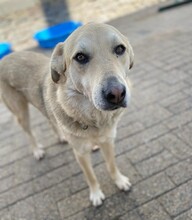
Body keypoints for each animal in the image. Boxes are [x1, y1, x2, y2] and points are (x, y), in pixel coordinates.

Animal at [0, 22, 134, 206]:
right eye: (80, 57)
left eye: (120, 49)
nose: (116, 94)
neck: (93, 117)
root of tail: (6, 57)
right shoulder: (80, 154)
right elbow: (91, 176)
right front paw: (96, 194)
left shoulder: (108, 141)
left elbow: (111, 165)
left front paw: (119, 181)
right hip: (20, 112)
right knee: (28, 132)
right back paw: (37, 150)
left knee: (50, 120)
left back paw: (63, 137)